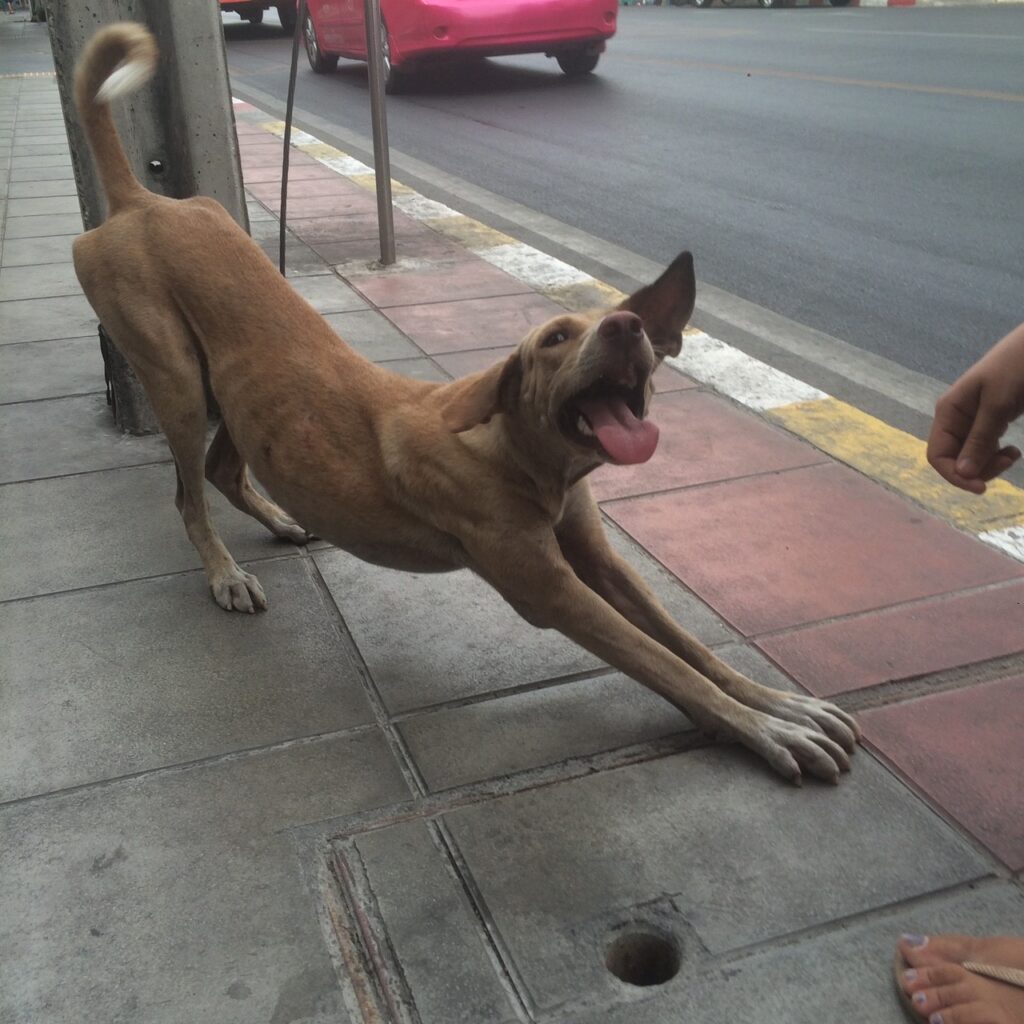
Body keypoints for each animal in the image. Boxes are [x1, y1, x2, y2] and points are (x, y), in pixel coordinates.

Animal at [72, 24, 856, 782]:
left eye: (624, 323)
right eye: (555, 338)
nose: (627, 327)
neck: (523, 457)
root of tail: (141, 199)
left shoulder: (601, 563)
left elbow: (689, 644)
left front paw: (776, 701)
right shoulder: (549, 590)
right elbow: (665, 664)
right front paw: (765, 730)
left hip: (238, 392)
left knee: (222, 470)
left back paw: (279, 518)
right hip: (174, 379)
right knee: (188, 493)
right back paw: (224, 573)